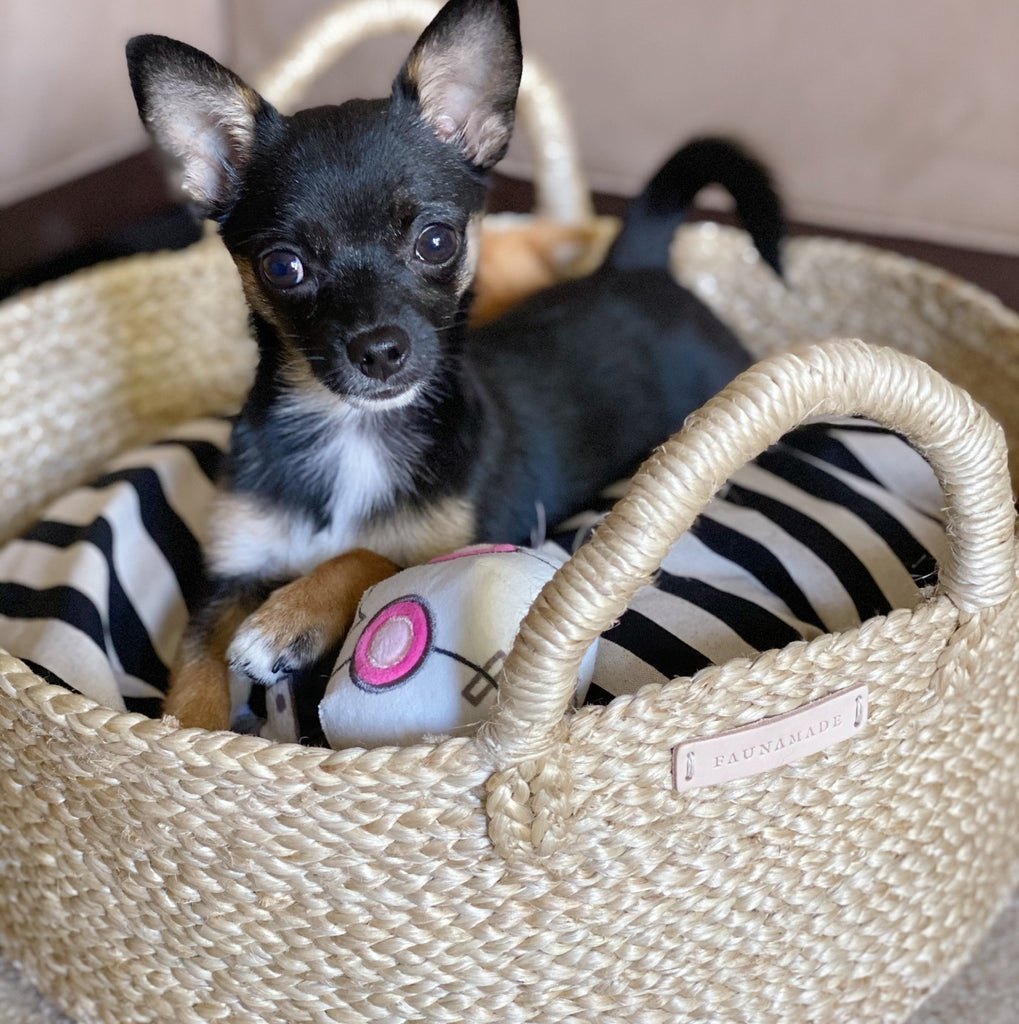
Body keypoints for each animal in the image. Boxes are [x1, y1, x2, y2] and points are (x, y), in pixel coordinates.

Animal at [125, 0, 782, 733]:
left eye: (435, 242)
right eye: (283, 266)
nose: (379, 349)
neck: (351, 431)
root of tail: (636, 263)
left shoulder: (457, 544)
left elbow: (370, 553)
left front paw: (288, 618)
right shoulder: (231, 575)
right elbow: (192, 685)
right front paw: (187, 737)